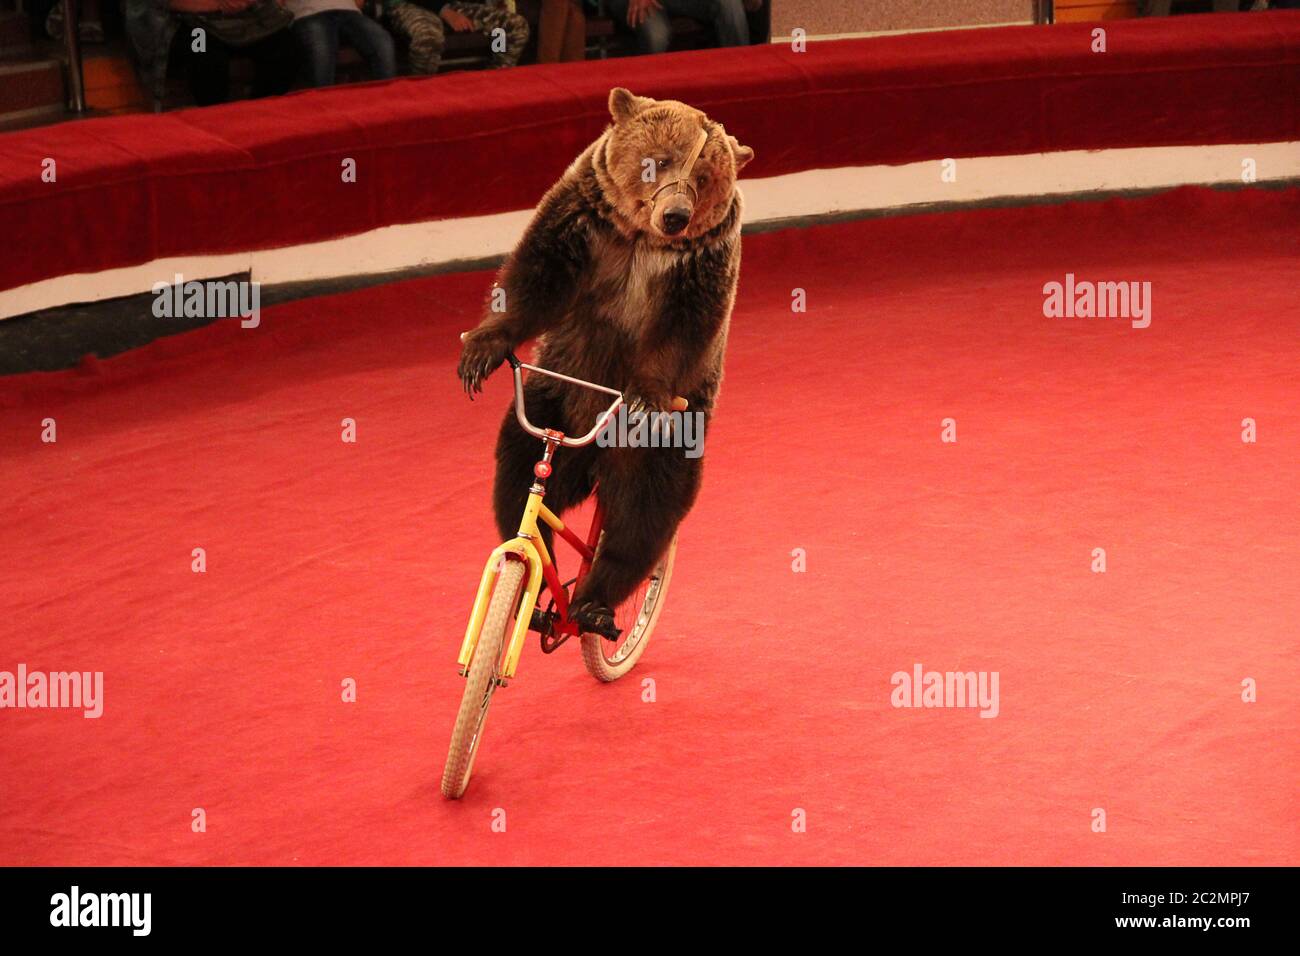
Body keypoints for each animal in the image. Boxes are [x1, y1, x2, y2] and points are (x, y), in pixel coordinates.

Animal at [457, 87, 753, 638]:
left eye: (704, 177)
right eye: (657, 161)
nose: (676, 216)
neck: (641, 238)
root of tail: (594, 459)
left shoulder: (699, 265)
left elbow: (682, 329)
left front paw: (645, 395)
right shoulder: (583, 221)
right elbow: (536, 275)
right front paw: (482, 349)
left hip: (670, 435)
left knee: (645, 507)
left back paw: (594, 604)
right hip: (557, 396)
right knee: (517, 471)